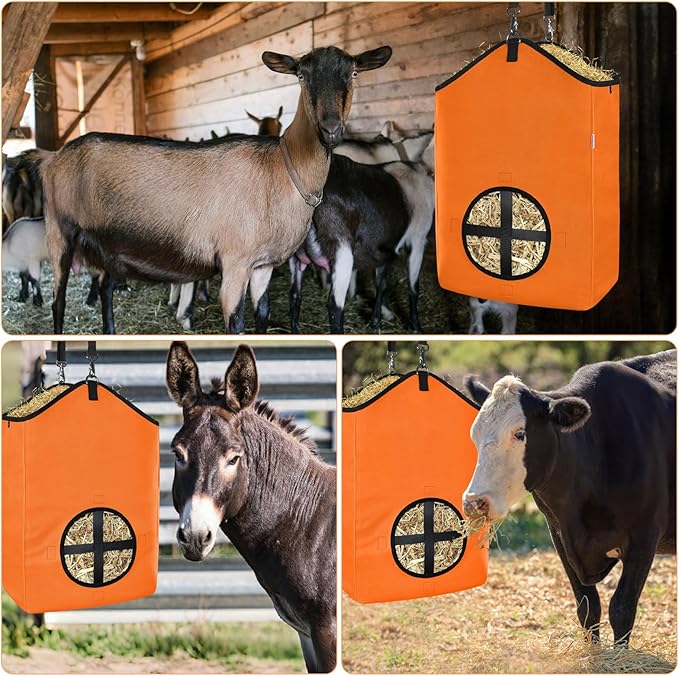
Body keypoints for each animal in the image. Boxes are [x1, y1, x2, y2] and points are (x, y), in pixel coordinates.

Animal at [42, 45, 392, 335]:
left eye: (354, 72)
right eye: (301, 75)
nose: (330, 129)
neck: (282, 168)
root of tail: (55, 158)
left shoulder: (263, 265)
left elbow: (262, 316)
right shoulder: (235, 262)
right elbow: (236, 323)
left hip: (108, 246)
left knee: (104, 289)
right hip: (60, 230)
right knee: (58, 301)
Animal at [290, 154, 434, 333]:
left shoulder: (382, 249)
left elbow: (381, 283)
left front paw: (376, 321)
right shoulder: (418, 240)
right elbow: (413, 287)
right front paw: (415, 326)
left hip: (295, 255)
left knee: (294, 297)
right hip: (342, 252)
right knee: (335, 306)